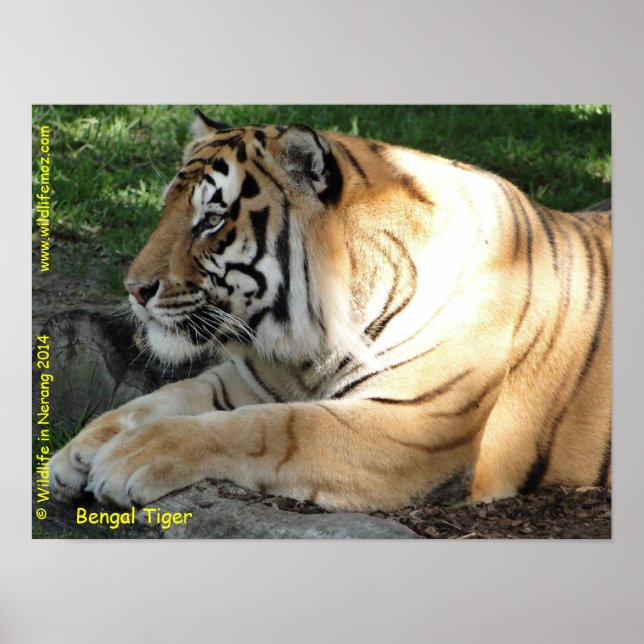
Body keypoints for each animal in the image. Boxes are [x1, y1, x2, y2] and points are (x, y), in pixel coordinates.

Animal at [49, 109, 611, 512]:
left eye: (211, 220)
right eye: (167, 207)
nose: (133, 288)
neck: (307, 346)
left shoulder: (414, 427)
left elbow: (269, 429)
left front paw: (128, 458)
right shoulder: (251, 381)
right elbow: (158, 399)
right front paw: (77, 453)